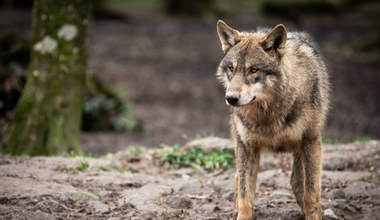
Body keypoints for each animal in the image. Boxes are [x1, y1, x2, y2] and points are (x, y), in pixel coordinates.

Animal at [217, 19, 330, 219]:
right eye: (231, 68)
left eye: (253, 70)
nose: (230, 98)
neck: (268, 114)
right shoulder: (246, 146)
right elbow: (245, 196)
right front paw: (241, 212)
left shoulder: (311, 141)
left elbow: (311, 193)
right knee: (239, 177)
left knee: (297, 182)